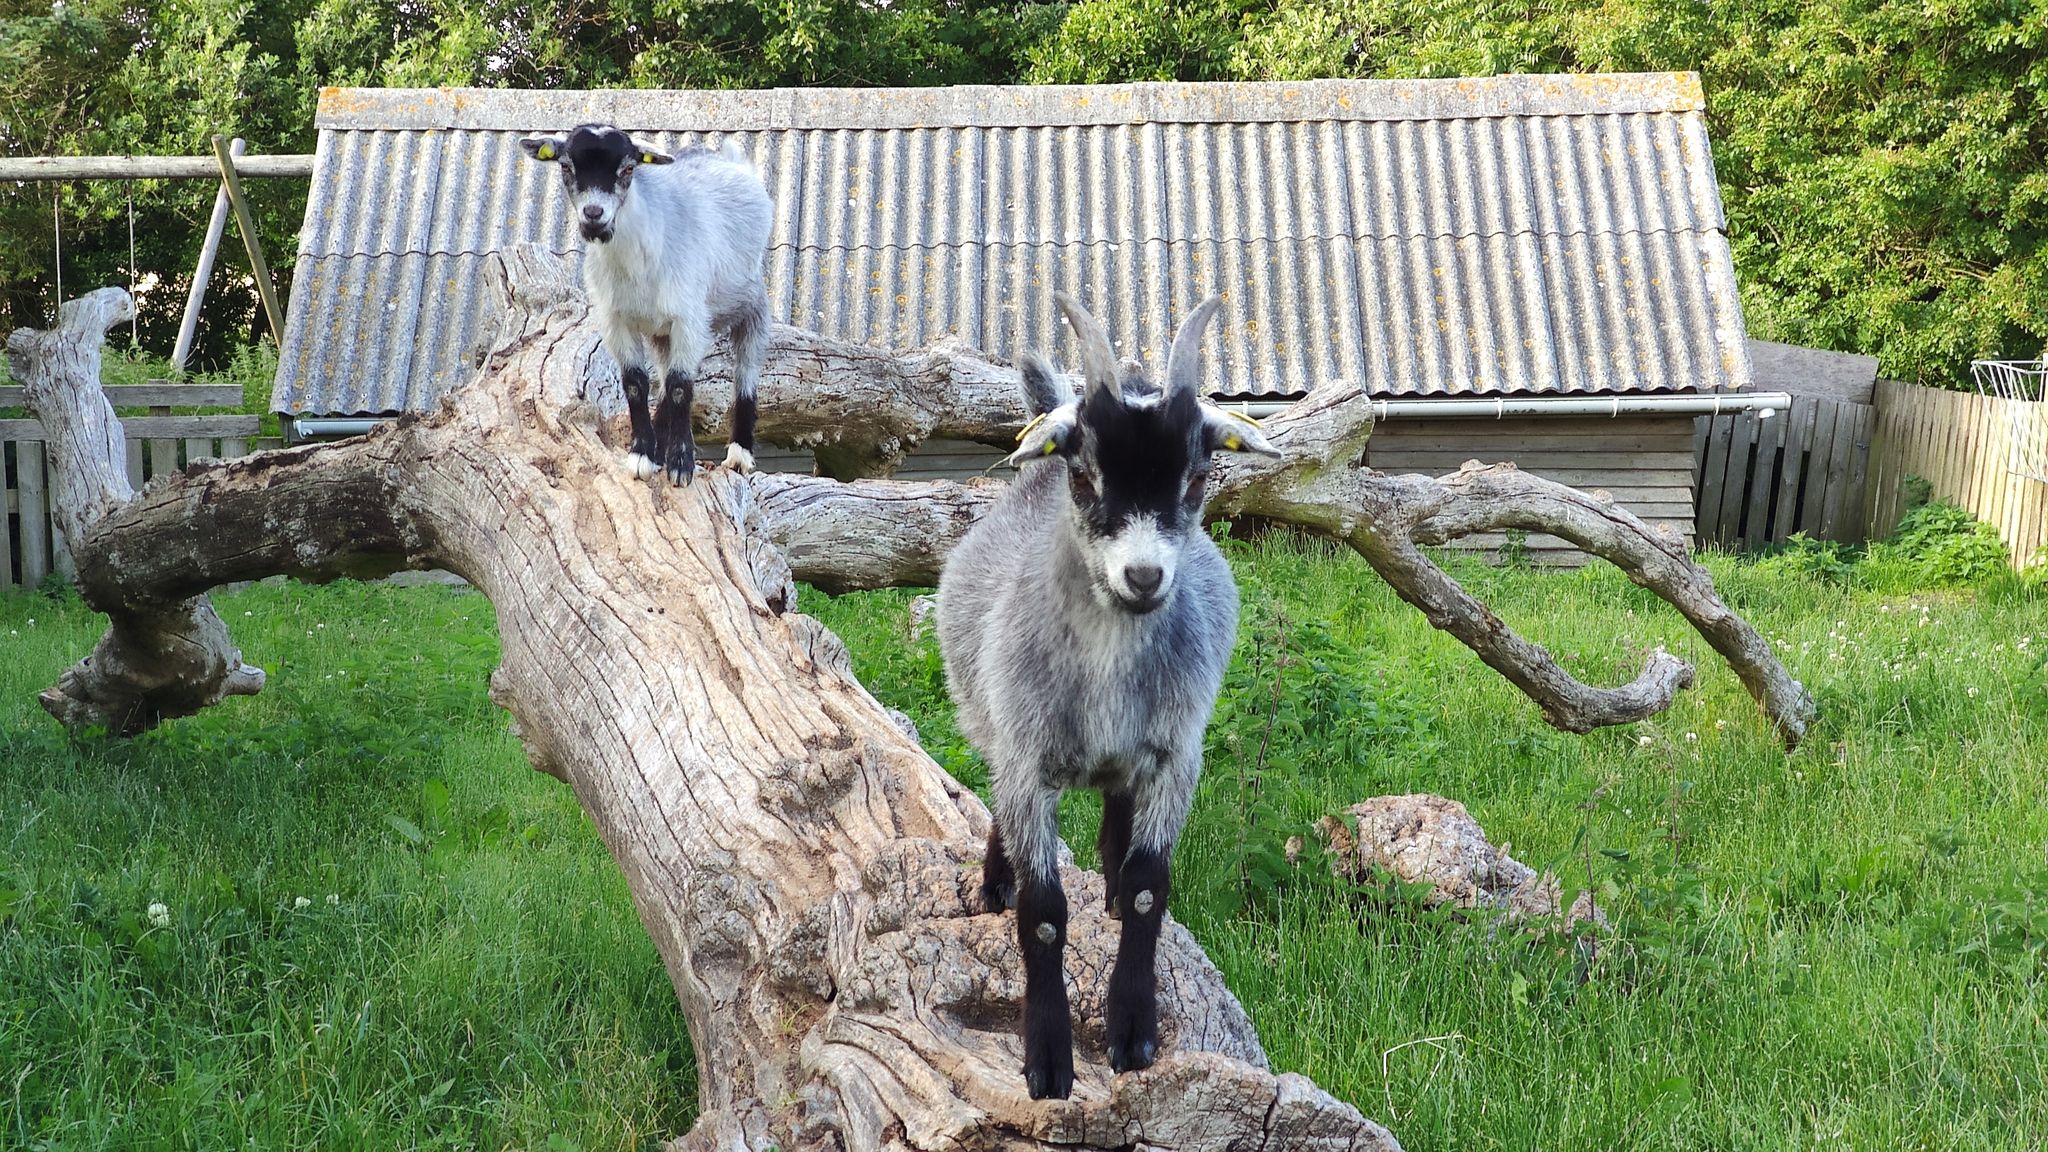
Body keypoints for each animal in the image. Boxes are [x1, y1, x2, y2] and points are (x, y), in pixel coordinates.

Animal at [522, 124, 773, 485]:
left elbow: (681, 386)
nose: (594, 215)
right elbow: (636, 384)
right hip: (660, 332)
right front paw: (642, 454)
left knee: (746, 372)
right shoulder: (617, 321)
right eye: (566, 166)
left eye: (628, 169)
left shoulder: (688, 317)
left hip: (750, 303)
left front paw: (681, 464)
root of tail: (727, 157)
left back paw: (739, 453)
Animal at [936, 292, 1280, 1099]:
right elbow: (1043, 914)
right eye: (1087, 478)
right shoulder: (1028, 763)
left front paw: (1132, 1030)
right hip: (987, 718)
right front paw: (1048, 1058)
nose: (1144, 577)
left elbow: (1152, 887)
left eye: (1197, 480)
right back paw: (996, 878)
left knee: (1119, 816)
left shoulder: (1178, 755)